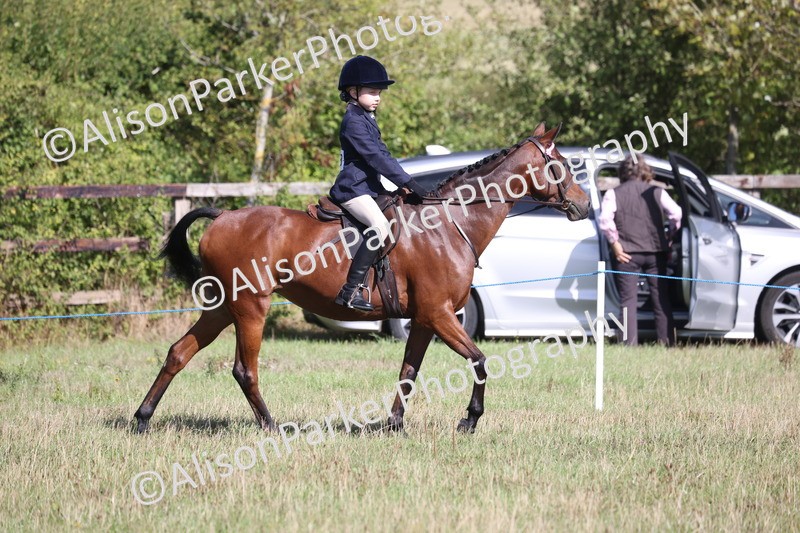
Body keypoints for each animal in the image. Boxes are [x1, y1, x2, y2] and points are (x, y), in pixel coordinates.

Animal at [134, 122, 591, 434]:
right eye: (559, 165)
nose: (584, 205)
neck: (451, 223)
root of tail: (223, 215)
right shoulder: (440, 314)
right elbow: (479, 360)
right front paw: (469, 421)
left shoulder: (424, 319)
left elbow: (408, 372)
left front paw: (393, 424)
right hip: (250, 307)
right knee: (245, 370)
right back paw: (272, 427)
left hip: (224, 306)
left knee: (178, 353)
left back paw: (142, 418)